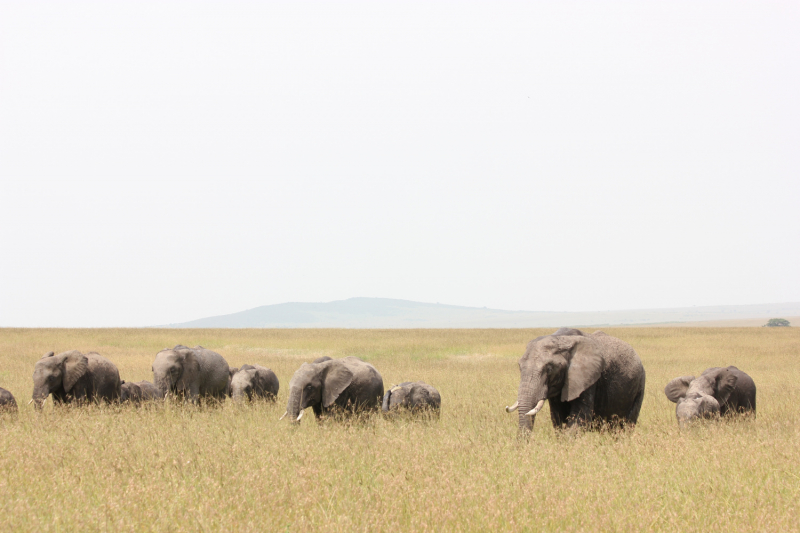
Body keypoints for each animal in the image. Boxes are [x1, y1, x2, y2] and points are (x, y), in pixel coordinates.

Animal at [510, 326, 648, 434]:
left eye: (549, 369)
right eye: (519, 366)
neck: (561, 338)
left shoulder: (588, 379)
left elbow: (580, 418)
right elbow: (557, 418)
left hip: (639, 385)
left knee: (625, 426)